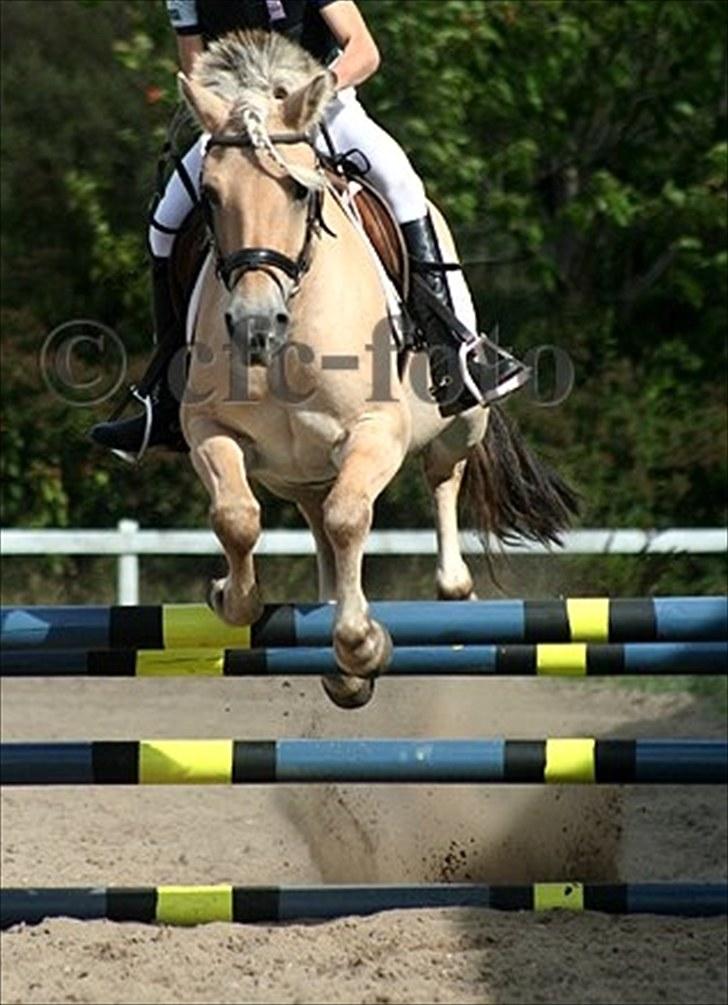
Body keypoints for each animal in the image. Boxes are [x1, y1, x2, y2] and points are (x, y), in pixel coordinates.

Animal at [177, 31, 579, 707]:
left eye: (298, 191)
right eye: (209, 196)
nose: (255, 327)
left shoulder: (377, 432)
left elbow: (349, 517)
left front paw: (363, 642)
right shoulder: (210, 430)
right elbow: (237, 518)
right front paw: (232, 596)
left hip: (458, 424)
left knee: (440, 481)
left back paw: (448, 593)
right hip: (297, 472)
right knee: (317, 519)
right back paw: (336, 655)